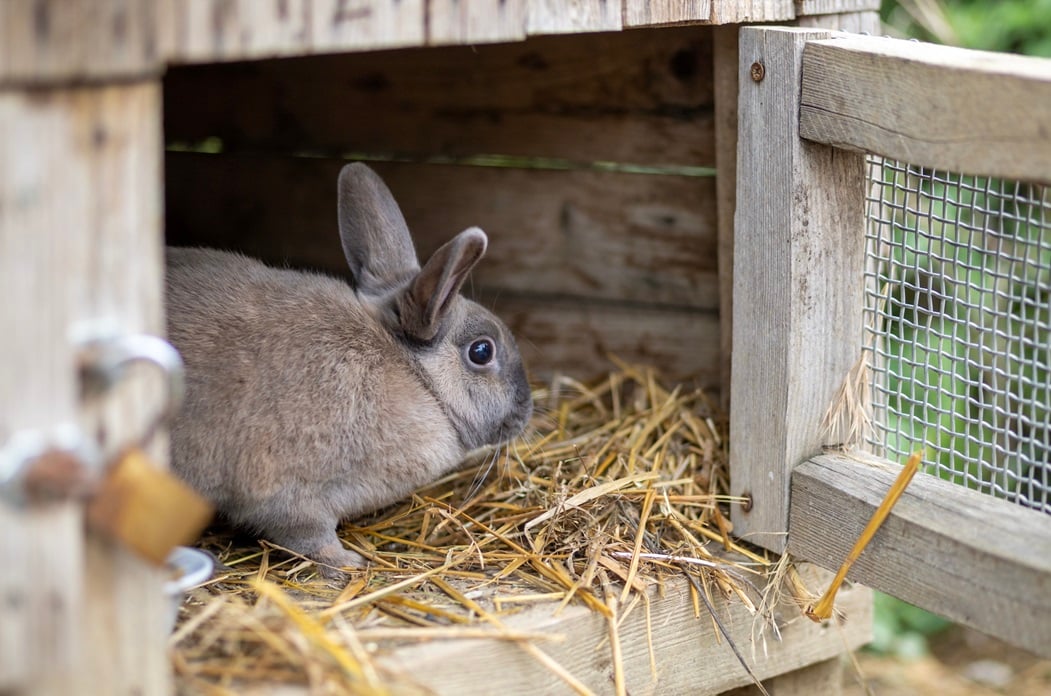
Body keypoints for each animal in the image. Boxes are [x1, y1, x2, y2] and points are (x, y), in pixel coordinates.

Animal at [165, 162, 533, 577]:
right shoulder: (291, 495)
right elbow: (310, 536)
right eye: (482, 351)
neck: (416, 376)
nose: (527, 409)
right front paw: (348, 563)